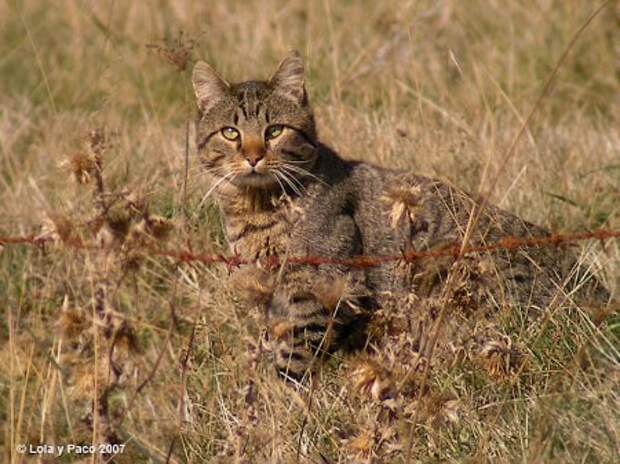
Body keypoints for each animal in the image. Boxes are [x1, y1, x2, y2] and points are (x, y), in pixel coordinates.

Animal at [191, 52, 608, 382]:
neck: (258, 209)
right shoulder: (271, 299)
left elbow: (293, 357)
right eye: (230, 132)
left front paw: (274, 399)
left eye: (274, 130)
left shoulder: (326, 289)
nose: (253, 156)